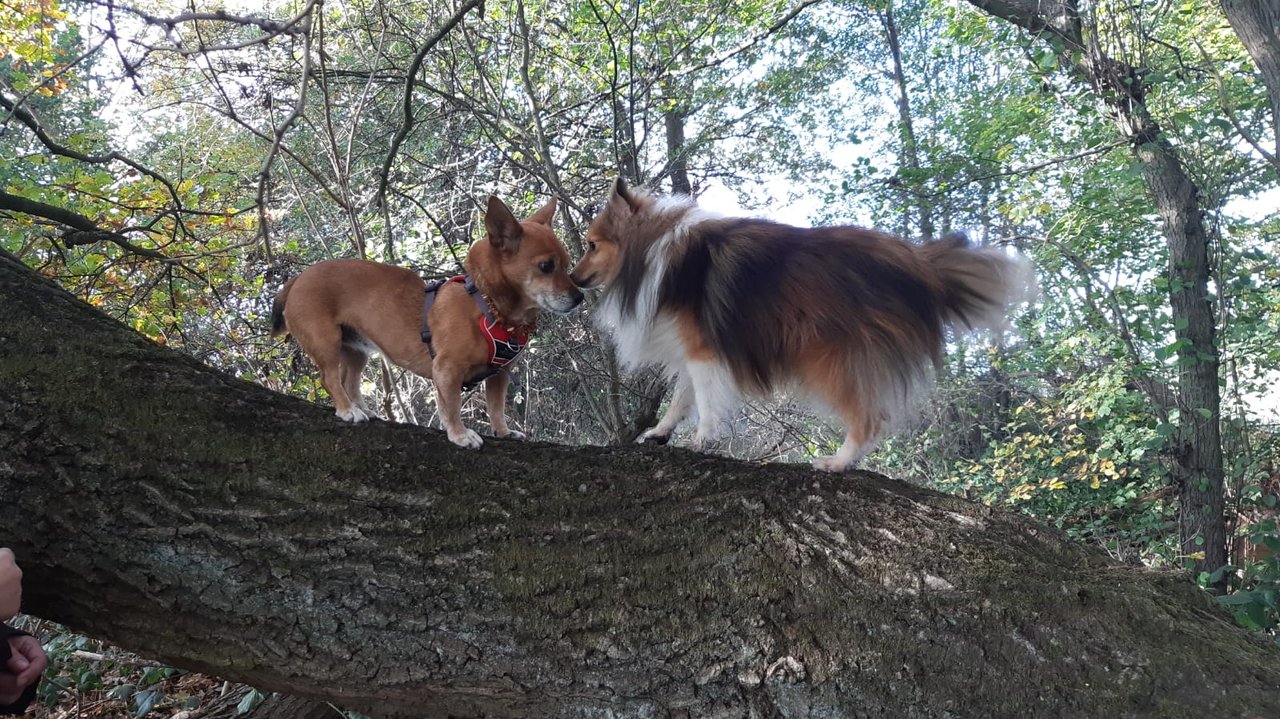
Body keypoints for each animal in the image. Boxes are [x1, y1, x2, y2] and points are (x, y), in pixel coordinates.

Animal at [271, 195, 583, 449]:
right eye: (546, 267)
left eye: (567, 263)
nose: (579, 296)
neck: (488, 306)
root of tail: (296, 280)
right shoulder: (446, 371)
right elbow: (452, 407)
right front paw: (460, 435)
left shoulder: (499, 375)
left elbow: (496, 407)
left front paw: (503, 432)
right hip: (326, 341)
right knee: (330, 378)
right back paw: (347, 410)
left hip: (356, 350)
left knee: (349, 380)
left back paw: (360, 408)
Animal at [570, 178, 1031, 471]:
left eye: (592, 245)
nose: (572, 281)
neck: (652, 250)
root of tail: (920, 265)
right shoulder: (693, 350)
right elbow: (681, 399)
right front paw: (660, 433)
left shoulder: (704, 350)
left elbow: (706, 402)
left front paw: (703, 440)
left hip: (834, 360)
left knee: (869, 420)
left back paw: (837, 463)